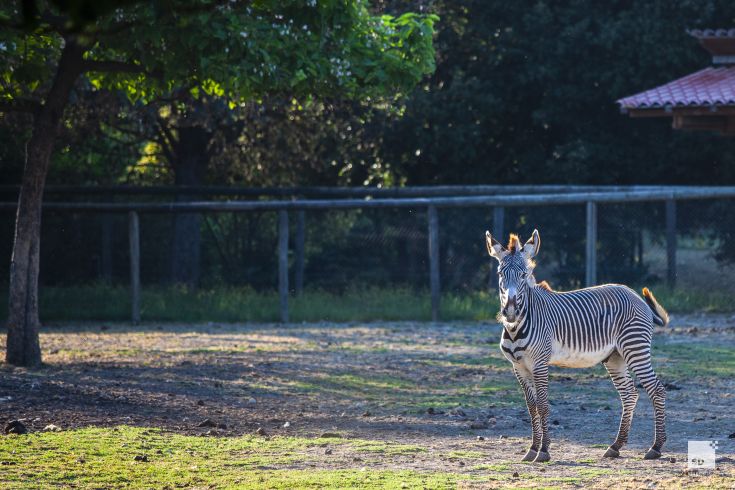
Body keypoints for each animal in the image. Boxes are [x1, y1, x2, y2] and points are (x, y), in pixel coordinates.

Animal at [485, 229, 669, 463]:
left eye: (523, 275)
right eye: (500, 274)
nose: (509, 312)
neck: (517, 327)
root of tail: (634, 294)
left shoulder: (539, 363)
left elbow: (543, 406)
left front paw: (544, 451)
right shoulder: (518, 366)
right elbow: (531, 407)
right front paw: (532, 449)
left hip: (635, 347)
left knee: (657, 389)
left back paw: (656, 447)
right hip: (615, 356)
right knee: (629, 394)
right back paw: (616, 446)